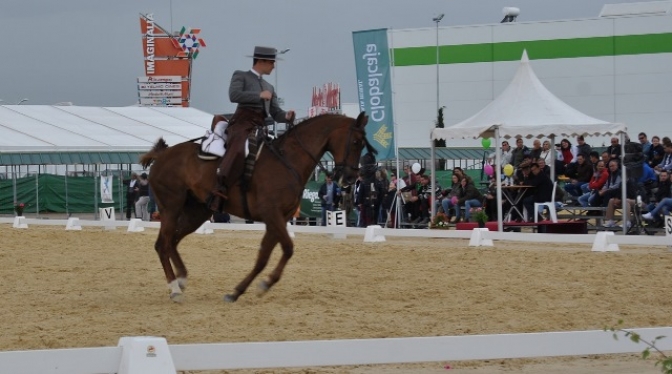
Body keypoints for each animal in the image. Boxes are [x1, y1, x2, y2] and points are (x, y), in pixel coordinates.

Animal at [140, 112, 372, 304]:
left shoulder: (278, 219)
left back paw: (181, 280)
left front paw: (239, 291)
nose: (349, 179)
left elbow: (263, 257)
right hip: (171, 208)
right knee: (163, 244)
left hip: (197, 212)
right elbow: (288, 248)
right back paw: (174, 289)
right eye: (356, 142)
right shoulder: (272, 215)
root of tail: (162, 155)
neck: (288, 161)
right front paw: (264, 284)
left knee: (173, 241)